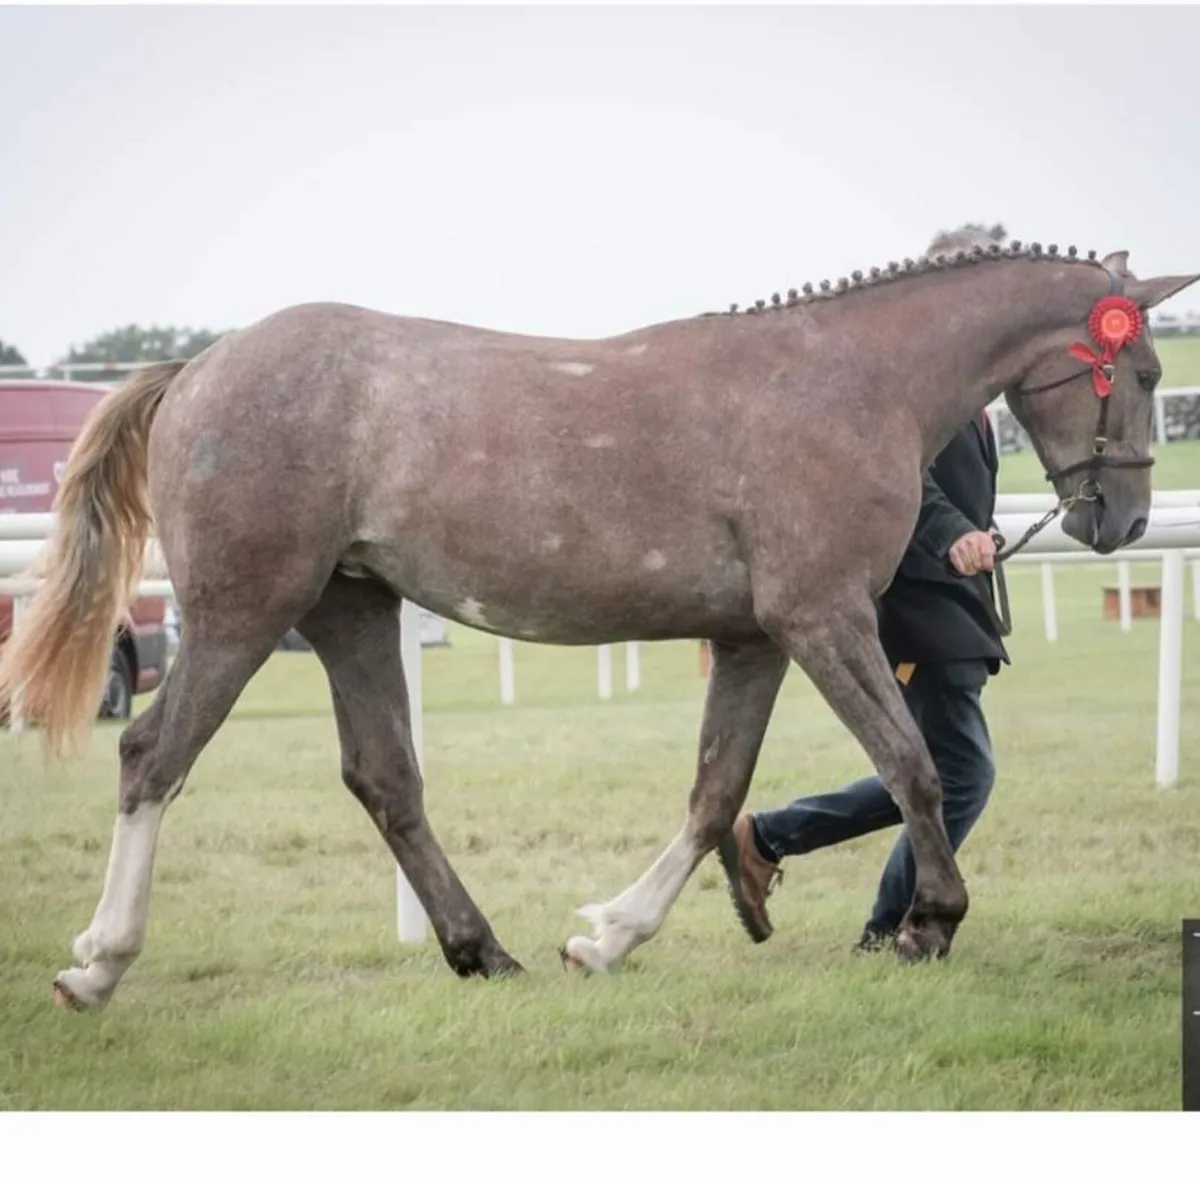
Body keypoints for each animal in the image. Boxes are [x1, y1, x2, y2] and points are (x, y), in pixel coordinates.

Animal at [0, 239, 1194, 1011]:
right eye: (1141, 367)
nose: (1125, 518)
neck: (845, 382)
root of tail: (197, 369)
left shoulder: (758, 638)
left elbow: (717, 794)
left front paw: (609, 937)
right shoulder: (822, 618)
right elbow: (912, 765)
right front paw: (930, 923)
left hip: (350, 607)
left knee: (386, 780)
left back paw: (485, 954)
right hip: (246, 608)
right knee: (153, 756)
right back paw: (96, 963)